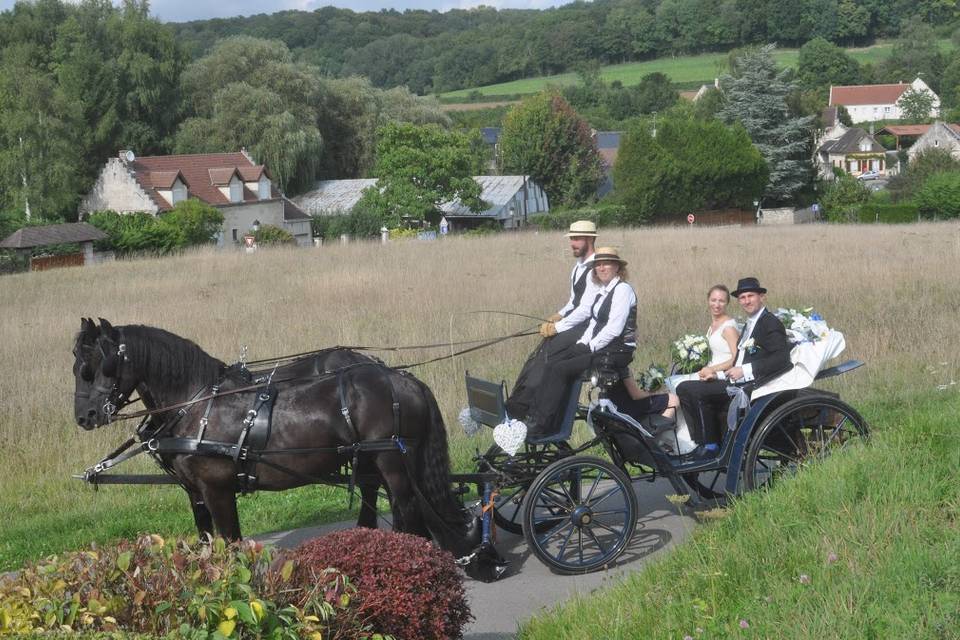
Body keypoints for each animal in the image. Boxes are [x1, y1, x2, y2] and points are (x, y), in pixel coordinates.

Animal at [71, 318, 498, 576]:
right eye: (77, 366)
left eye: (97, 367)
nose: (84, 416)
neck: (197, 404)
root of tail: (403, 379)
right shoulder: (195, 492)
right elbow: (207, 541)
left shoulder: (218, 488)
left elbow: (230, 542)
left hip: (393, 461)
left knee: (409, 516)